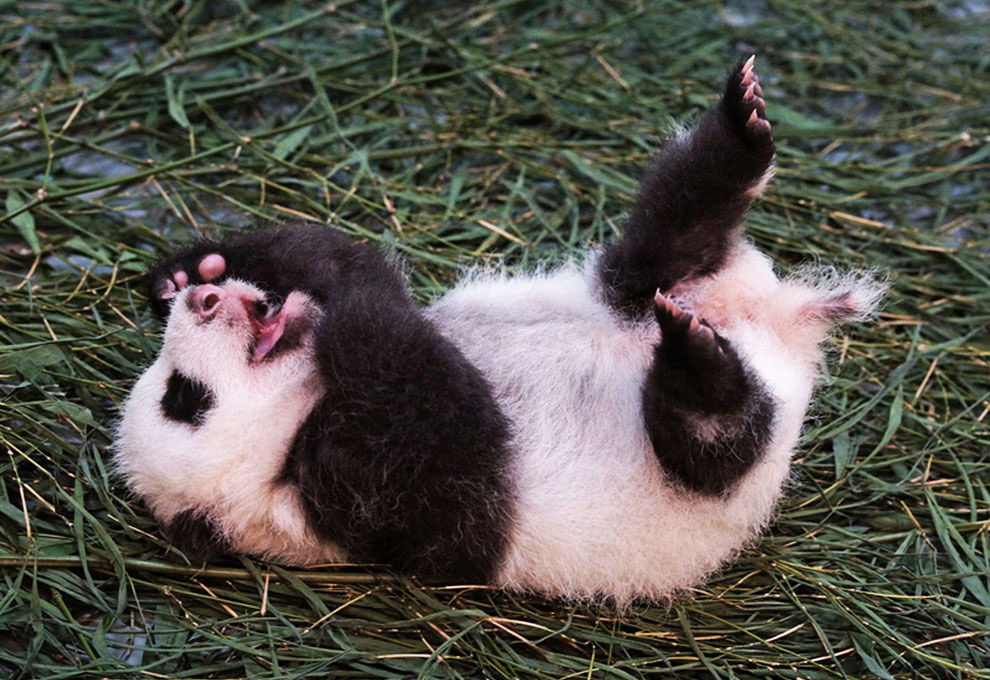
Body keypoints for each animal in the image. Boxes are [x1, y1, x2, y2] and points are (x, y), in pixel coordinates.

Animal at [116, 57, 884, 600]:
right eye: (184, 398)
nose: (206, 303)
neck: (306, 409)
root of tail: (782, 326)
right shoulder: (374, 505)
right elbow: (438, 407)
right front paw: (350, 313)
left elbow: (337, 254)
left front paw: (193, 269)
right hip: (714, 476)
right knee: (712, 439)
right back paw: (696, 358)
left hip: (626, 284)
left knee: (671, 227)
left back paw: (738, 129)